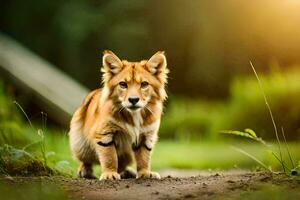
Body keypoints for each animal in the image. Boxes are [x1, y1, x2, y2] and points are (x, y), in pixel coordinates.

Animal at [69, 50, 170, 180]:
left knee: (122, 164)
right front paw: (109, 174)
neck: (134, 114)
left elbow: (144, 157)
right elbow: (110, 156)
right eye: (123, 84)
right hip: (79, 144)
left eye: (144, 84)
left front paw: (145, 173)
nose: (133, 100)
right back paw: (85, 170)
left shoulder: (146, 135)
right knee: (85, 159)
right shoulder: (104, 134)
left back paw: (127, 172)